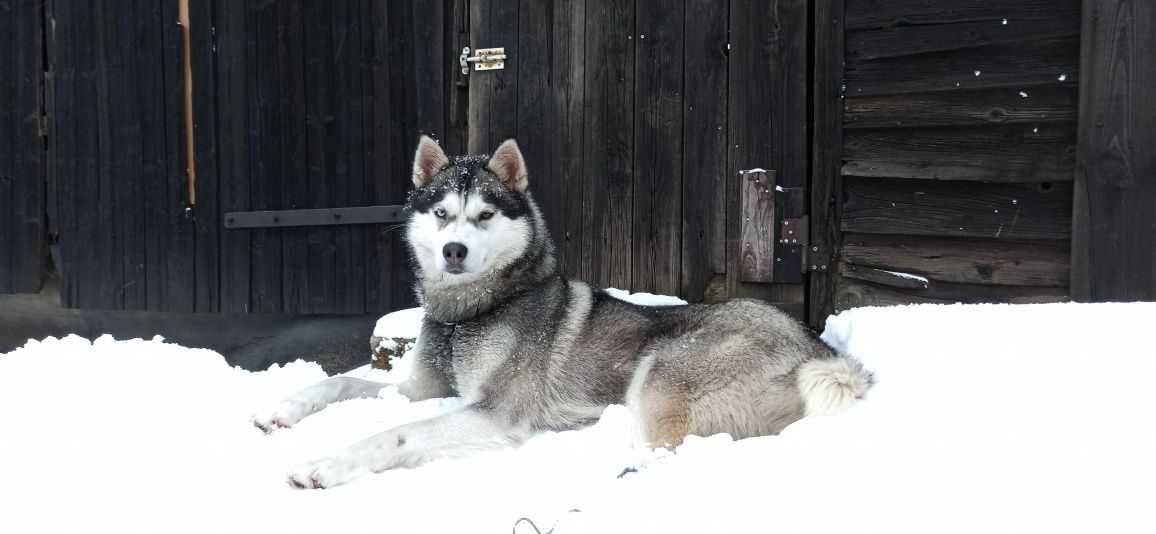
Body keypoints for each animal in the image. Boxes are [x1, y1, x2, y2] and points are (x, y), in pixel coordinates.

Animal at [250, 136, 869, 487]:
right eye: (442, 212)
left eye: (484, 215)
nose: (454, 251)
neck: (469, 314)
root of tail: (822, 352)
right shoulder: (421, 388)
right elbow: (340, 383)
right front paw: (283, 409)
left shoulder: (495, 412)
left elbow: (396, 434)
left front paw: (322, 465)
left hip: (662, 370)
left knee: (671, 451)